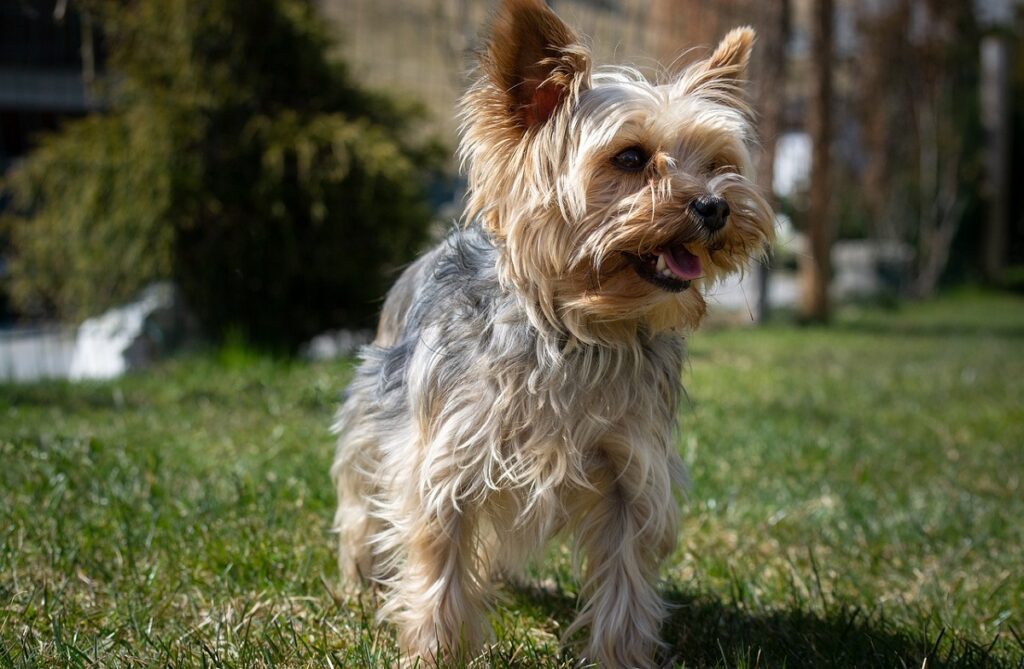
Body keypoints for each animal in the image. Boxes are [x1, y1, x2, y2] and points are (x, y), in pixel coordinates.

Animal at [331, 1, 770, 663]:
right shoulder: (443, 460)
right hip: (372, 414)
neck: (577, 330)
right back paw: (358, 578)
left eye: (719, 163)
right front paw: (434, 653)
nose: (715, 207)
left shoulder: (631, 471)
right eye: (631, 158)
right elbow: (438, 565)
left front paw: (620, 658)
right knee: (360, 499)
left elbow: (625, 582)